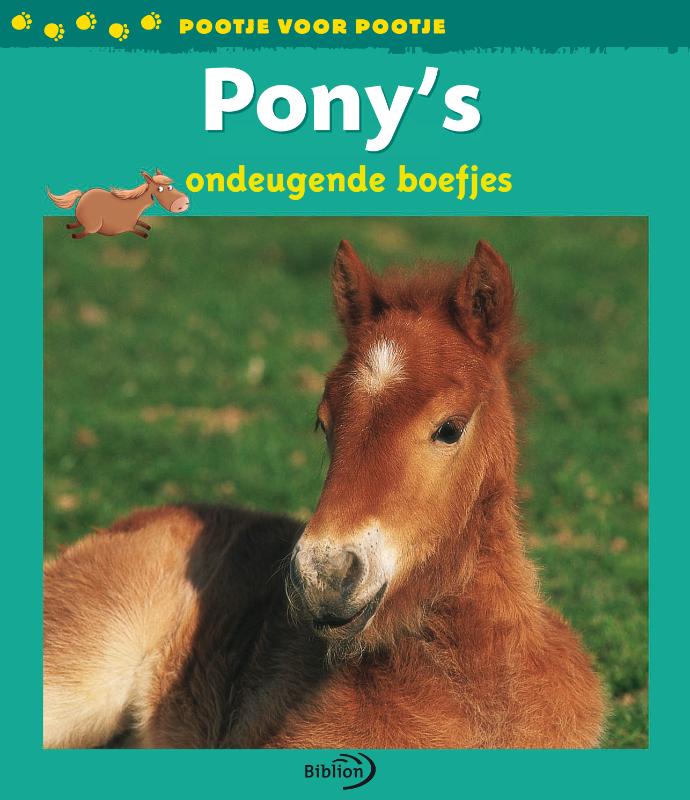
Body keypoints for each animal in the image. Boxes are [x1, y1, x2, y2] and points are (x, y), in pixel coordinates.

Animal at [46, 169, 190, 239]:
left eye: (171, 186)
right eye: (160, 189)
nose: (182, 203)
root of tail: (83, 195)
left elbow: (143, 225)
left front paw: (147, 227)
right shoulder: (129, 227)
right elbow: (142, 232)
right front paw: (145, 232)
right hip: (95, 224)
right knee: (83, 231)